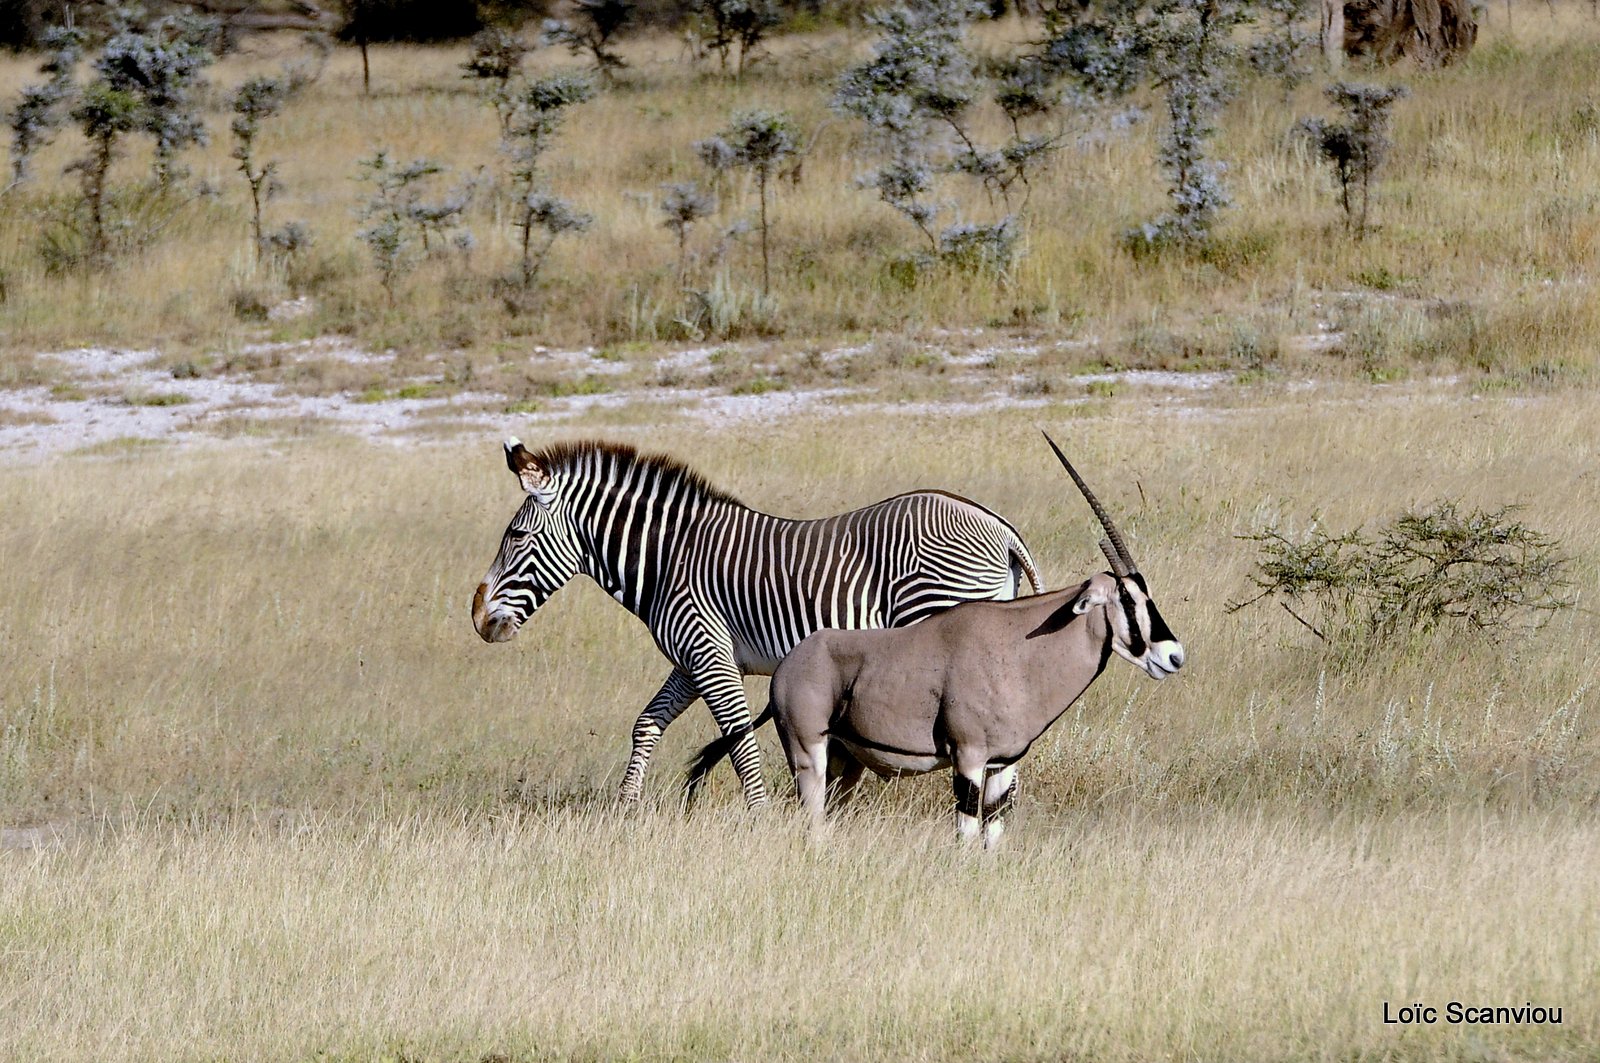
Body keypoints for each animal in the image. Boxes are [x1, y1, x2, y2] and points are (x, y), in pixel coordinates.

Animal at [470, 438, 1049, 806]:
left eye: (516, 536)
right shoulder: (690, 659)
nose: (477, 618)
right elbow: (647, 723)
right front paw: (626, 810)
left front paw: (761, 817)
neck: (666, 561)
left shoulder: (709, 651)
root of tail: (1000, 528)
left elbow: (739, 741)